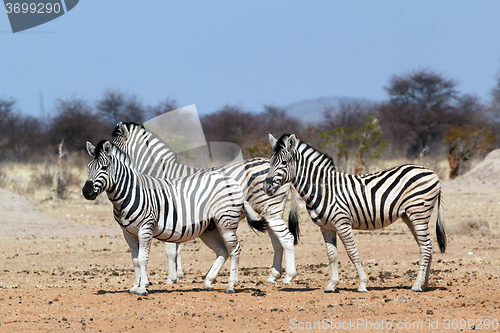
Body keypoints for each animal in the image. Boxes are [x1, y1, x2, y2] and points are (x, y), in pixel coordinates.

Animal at [82, 139, 268, 294]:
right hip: (209, 228)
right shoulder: (128, 233)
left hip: (226, 221)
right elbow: (135, 260)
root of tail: (232, 182)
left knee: (234, 249)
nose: (86, 192)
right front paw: (135, 286)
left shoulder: (145, 228)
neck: (129, 193)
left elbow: (142, 258)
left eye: (104, 168)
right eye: (89, 168)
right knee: (222, 250)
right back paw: (208, 282)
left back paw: (230, 286)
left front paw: (142, 288)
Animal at [112, 122, 300, 282]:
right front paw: (178, 275)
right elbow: (176, 247)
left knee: (285, 238)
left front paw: (171, 278)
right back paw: (273, 276)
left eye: (112, 148)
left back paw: (288, 275)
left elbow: (171, 250)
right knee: (277, 241)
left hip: (270, 209)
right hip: (270, 211)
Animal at [264, 134, 448, 292]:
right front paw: (332, 284)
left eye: (284, 162)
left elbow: (352, 252)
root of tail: (432, 172)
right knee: (427, 246)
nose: (266, 185)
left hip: (419, 213)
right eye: (271, 162)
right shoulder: (326, 227)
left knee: (426, 246)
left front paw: (362, 284)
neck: (323, 188)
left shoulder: (342, 223)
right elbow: (331, 255)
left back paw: (417, 285)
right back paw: (424, 283)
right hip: (409, 216)